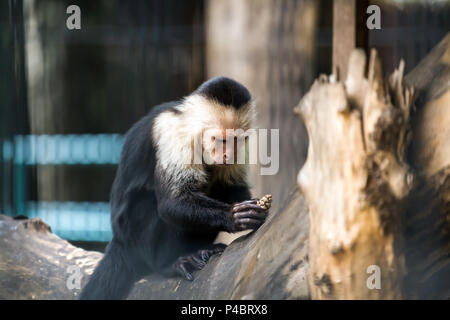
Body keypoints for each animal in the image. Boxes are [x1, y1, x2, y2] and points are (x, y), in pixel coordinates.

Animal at [80, 77, 270, 300]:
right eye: (222, 140)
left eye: (237, 140)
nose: (228, 154)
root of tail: (119, 242)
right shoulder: (175, 135)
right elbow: (173, 201)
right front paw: (233, 216)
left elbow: (231, 186)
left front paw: (255, 211)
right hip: (135, 243)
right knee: (148, 203)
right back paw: (167, 265)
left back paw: (201, 251)